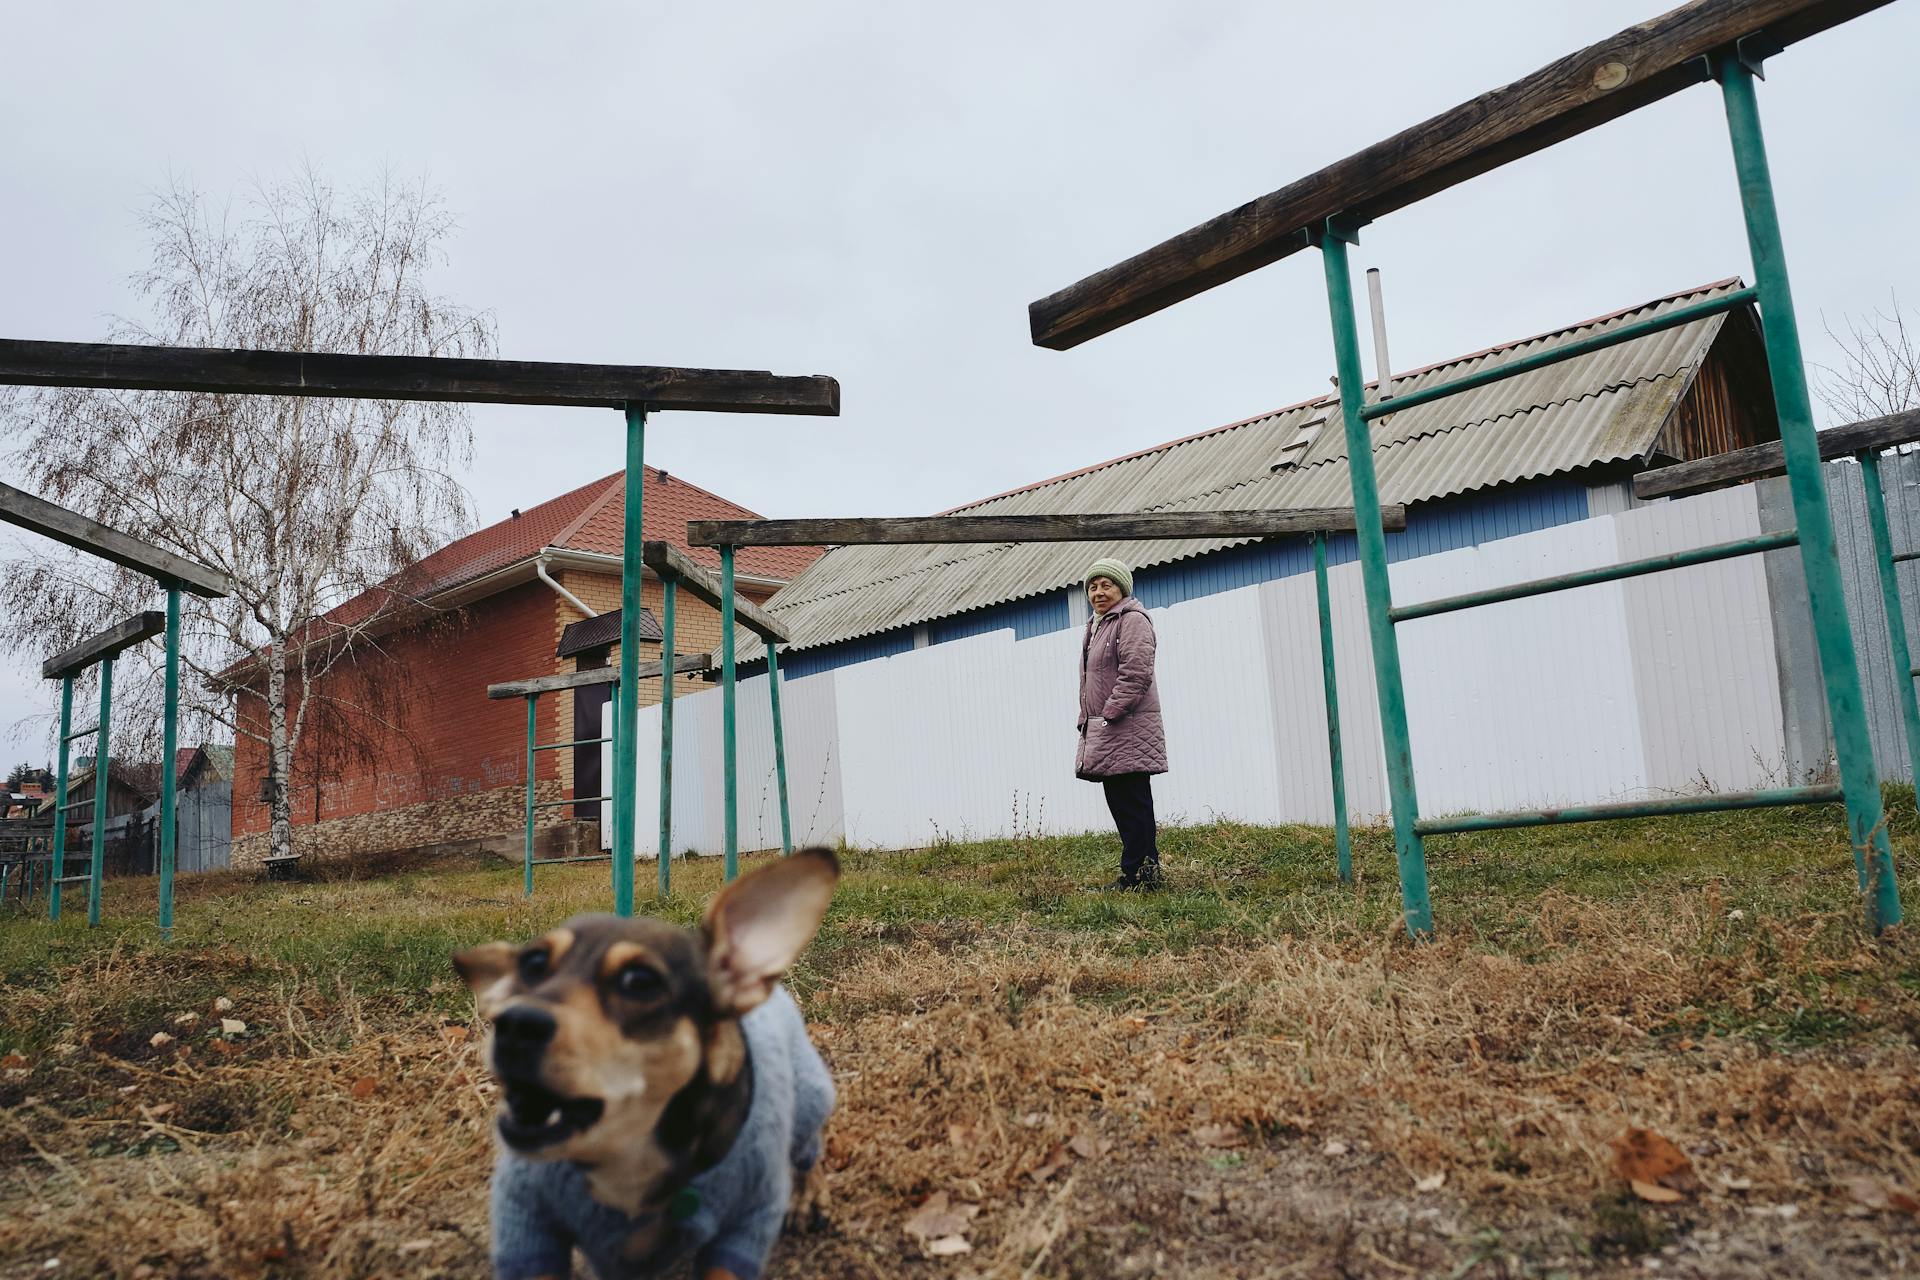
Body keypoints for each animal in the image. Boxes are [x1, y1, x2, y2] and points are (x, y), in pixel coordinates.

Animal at [456, 852, 840, 1280]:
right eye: (533, 964)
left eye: (640, 981)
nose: (516, 1023)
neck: (628, 1162)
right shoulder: (526, 1215)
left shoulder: (746, 1222)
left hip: (807, 1103)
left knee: (808, 1150)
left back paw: (809, 1197)